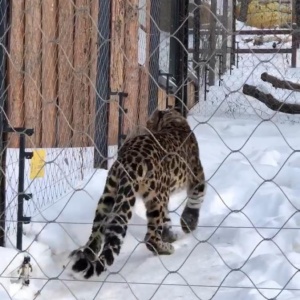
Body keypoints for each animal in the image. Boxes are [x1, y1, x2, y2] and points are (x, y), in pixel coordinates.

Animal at [70, 106, 206, 278]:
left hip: (109, 194)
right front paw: (188, 223)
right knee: (150, 238)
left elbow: (167, 218)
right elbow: (196, 198)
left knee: (96, 234)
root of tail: (130, 161)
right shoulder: (197, 176)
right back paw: (166, 249)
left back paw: (87, 255)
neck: (172, 120)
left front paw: (169, 235)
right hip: (156, 197)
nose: (146, 125)